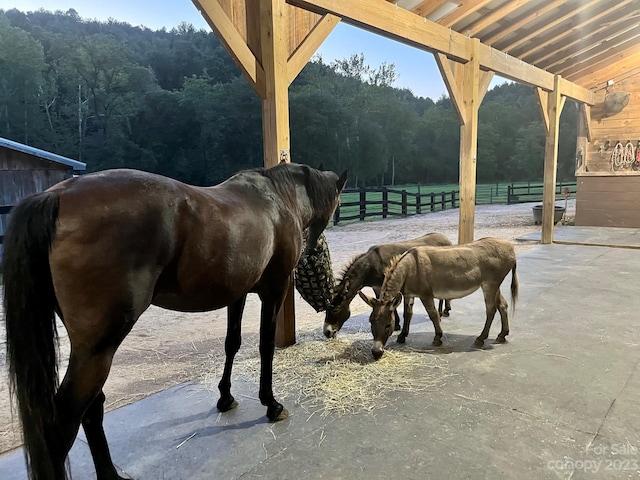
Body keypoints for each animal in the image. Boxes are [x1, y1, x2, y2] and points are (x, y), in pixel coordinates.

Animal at [2, 162, 348, 480]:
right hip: (98, 349)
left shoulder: (237, 294)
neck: (277, 198)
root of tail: (57, 195)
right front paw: (271, 403)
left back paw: (111, 474)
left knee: (92, 408)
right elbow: (265, 345)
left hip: (91, 350)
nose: (313, 248)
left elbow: (232, 343)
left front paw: (225, 397)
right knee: (62, 426)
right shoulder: (273, 290)